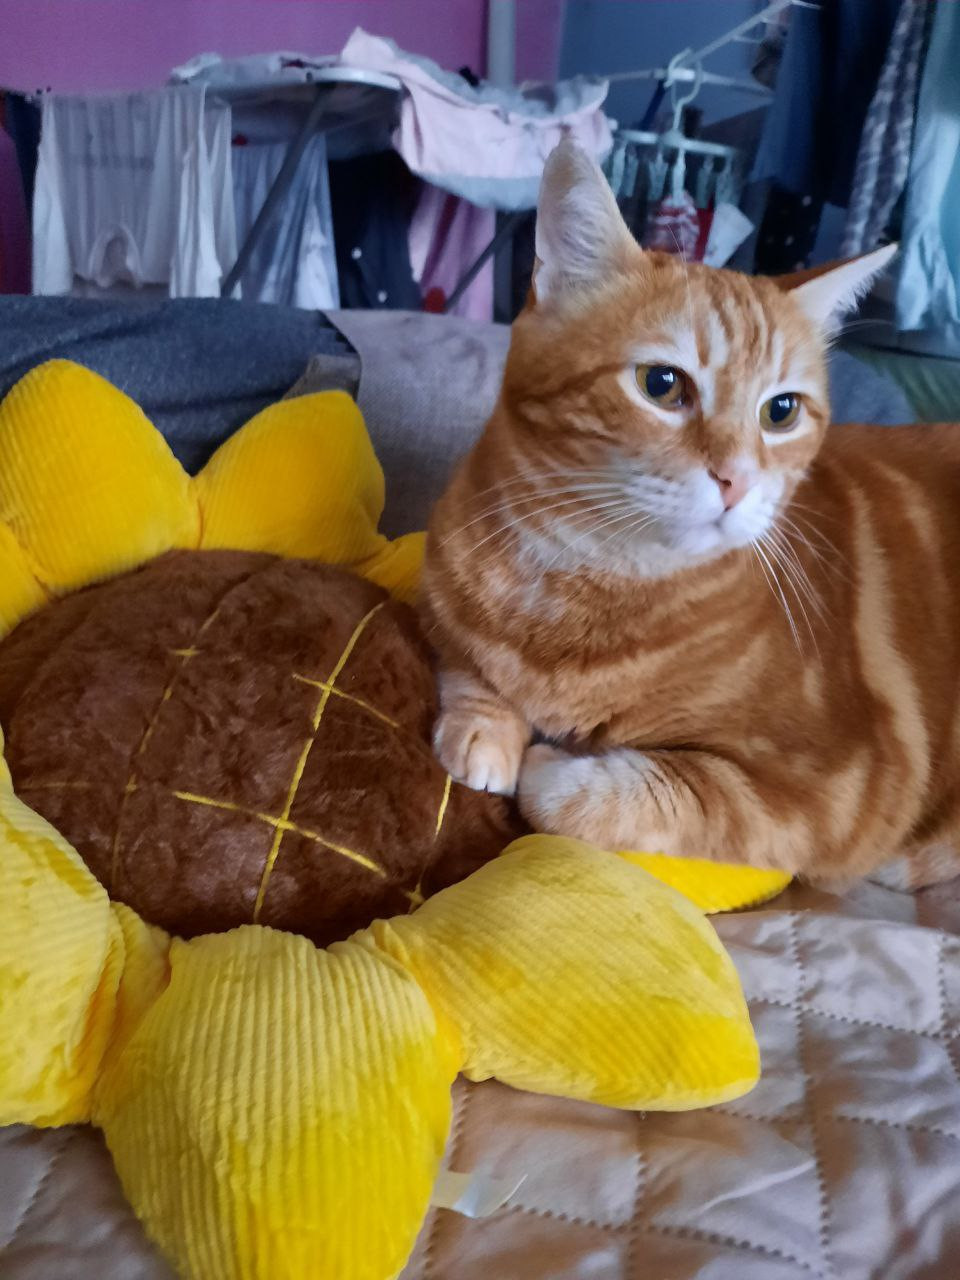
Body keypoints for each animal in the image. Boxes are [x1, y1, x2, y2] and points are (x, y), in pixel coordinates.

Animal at [422, 137, 960, 880]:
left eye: (781, 411)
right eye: (661, 384)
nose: (735, 479)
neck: (582, 572)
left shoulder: (830, 789)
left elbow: (635, 794)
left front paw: (551, 762)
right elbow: (467, 657)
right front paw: (483, 721)